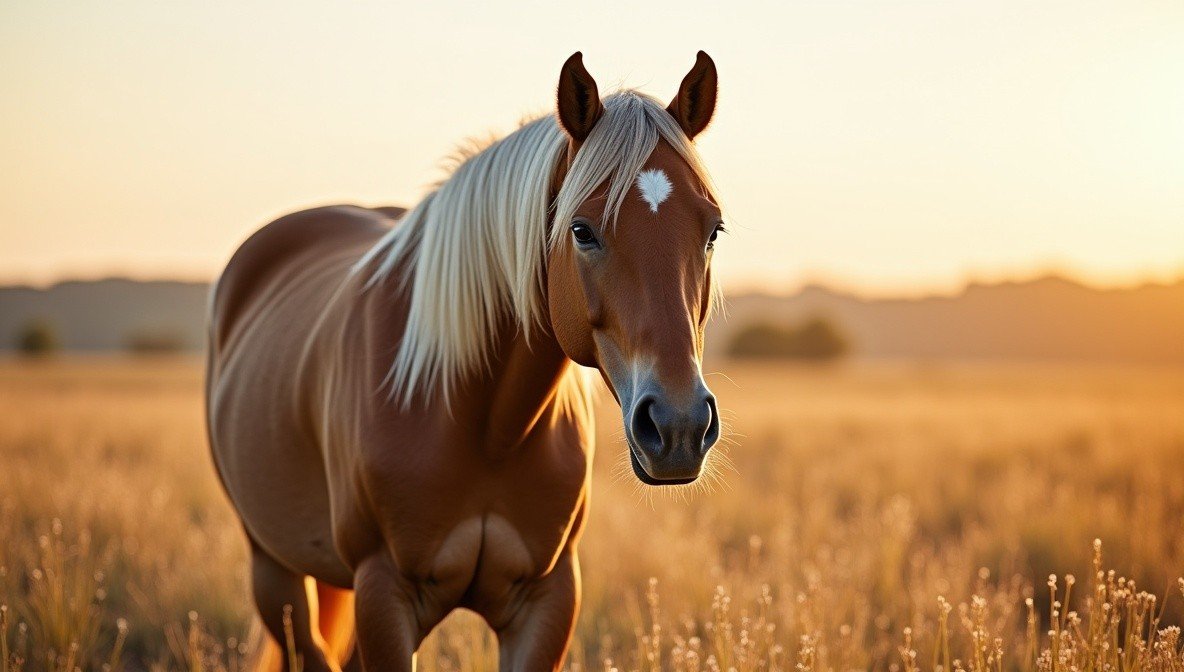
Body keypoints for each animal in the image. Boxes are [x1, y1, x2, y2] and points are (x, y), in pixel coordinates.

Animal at [205, 51, 726, 671]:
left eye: (713, 231)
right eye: (581, 230)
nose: (678, 426)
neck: (485, 425)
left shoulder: (547, 602)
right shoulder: (385, 594)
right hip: (274, 571)